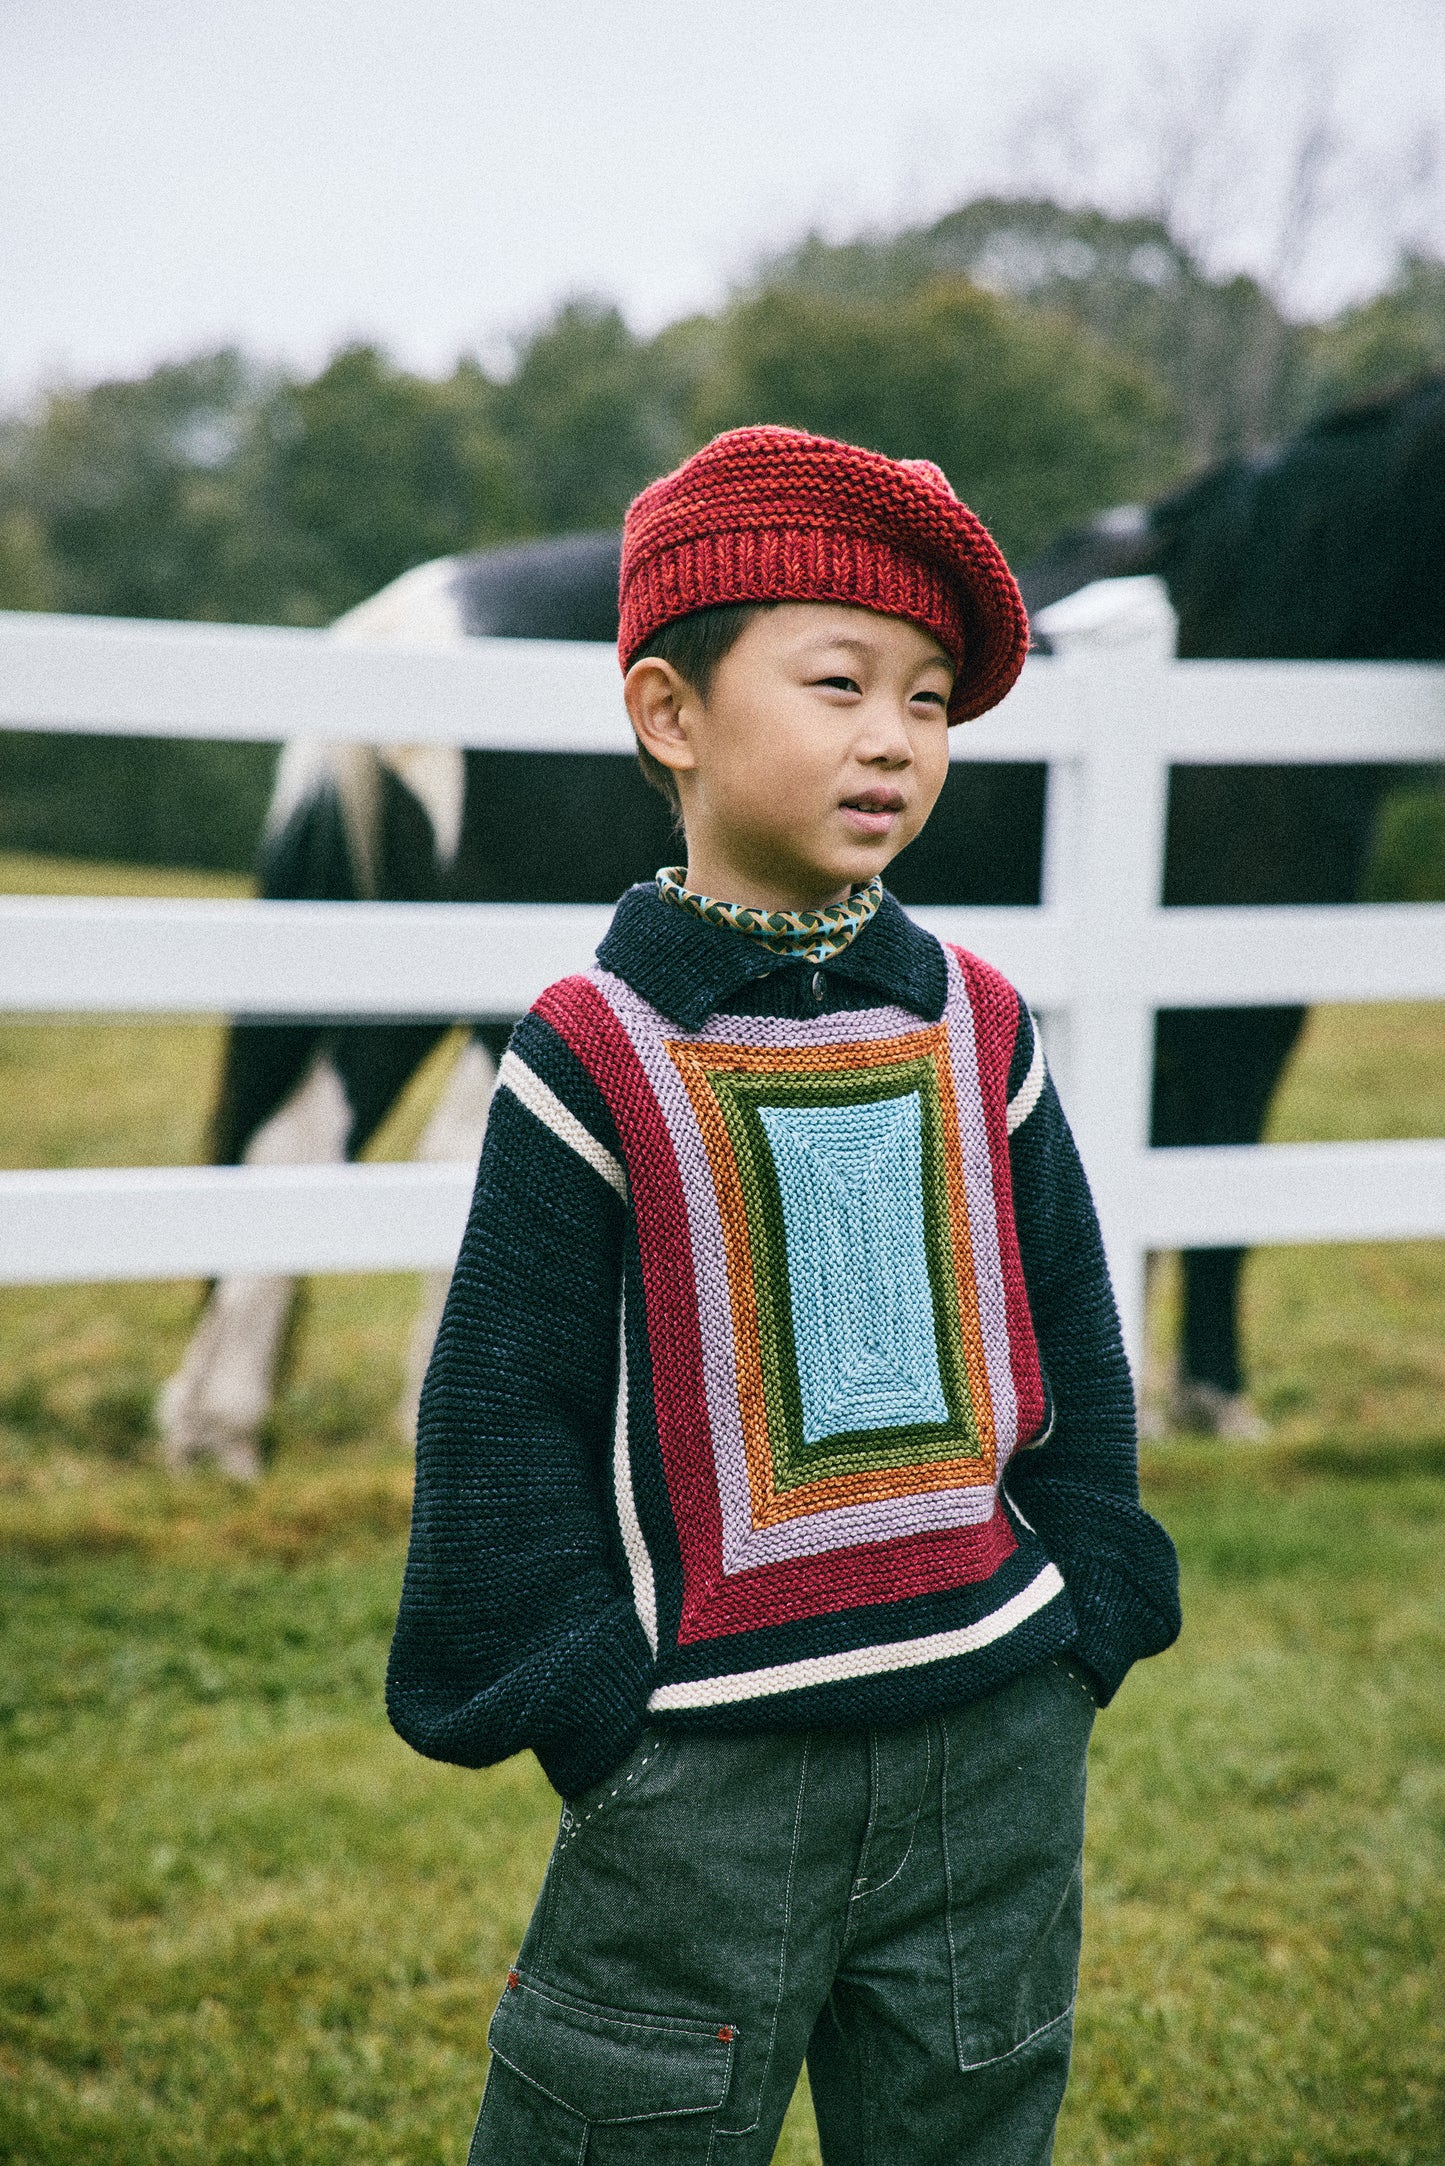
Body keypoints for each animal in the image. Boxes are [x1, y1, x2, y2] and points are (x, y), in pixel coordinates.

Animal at [158, 381, 1445, 1481]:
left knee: (299, 1140)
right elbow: (1217, 1178)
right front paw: (1214, 1401)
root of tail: (400, 626)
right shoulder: (1236, 997)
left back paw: (222, 1425)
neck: (1252, 624)